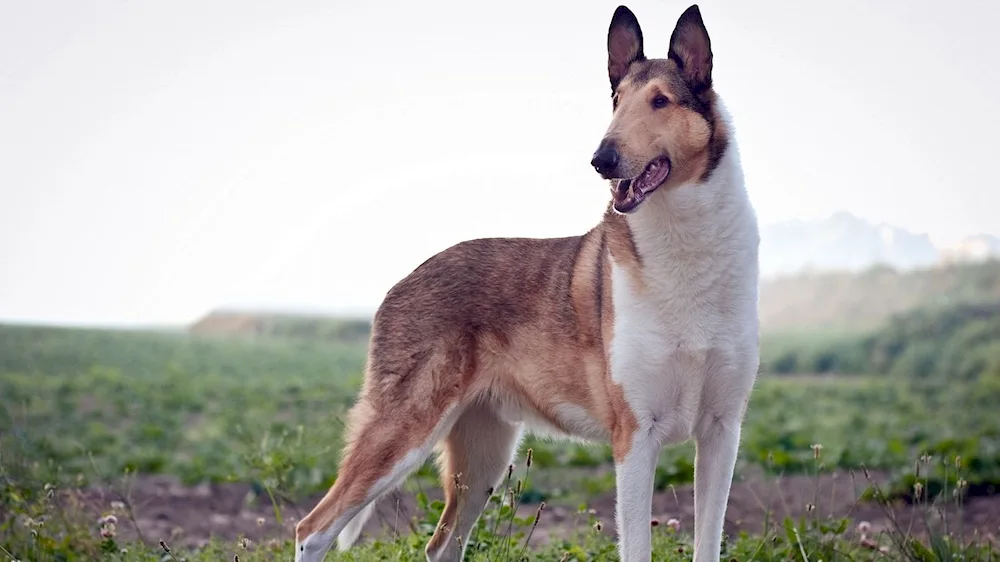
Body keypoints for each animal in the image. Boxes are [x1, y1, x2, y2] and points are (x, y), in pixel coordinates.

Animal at [294, 5, 756, 560]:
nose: (601, 159)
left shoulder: (722, 432)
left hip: (484, 456)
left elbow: (708, 541)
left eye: (661, 101)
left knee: (440, 545)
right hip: (404, 431)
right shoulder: (635, 436)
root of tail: (400, 282)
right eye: (616, 102)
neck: (685, 246)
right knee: (312, 529)